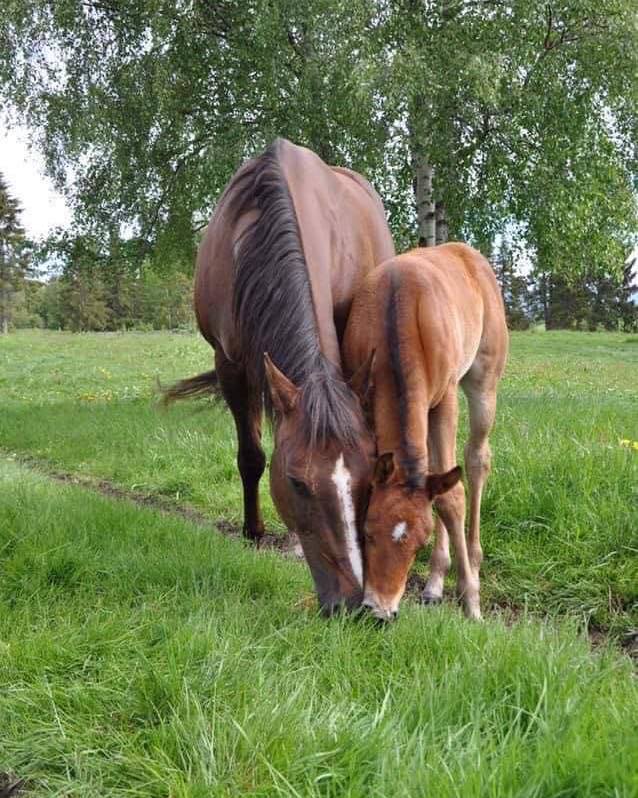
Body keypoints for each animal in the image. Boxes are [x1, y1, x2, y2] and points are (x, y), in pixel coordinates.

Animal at [165, 139, 396, 612]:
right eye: (296, 483)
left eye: (369, 479)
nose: (352, 603)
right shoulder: (230, 365)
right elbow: (252, 456)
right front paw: (253, 532)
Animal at [344, 241, 510, 620]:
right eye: (368, 531)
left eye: (418, 544)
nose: (379, 610)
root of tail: (468, 253)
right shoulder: (364, 401)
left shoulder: (445, 398)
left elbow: (452, 497)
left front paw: (471, 600)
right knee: (437, 469)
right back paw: (435, 583)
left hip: (483, 382)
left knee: (476, 460)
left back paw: (472, 563)